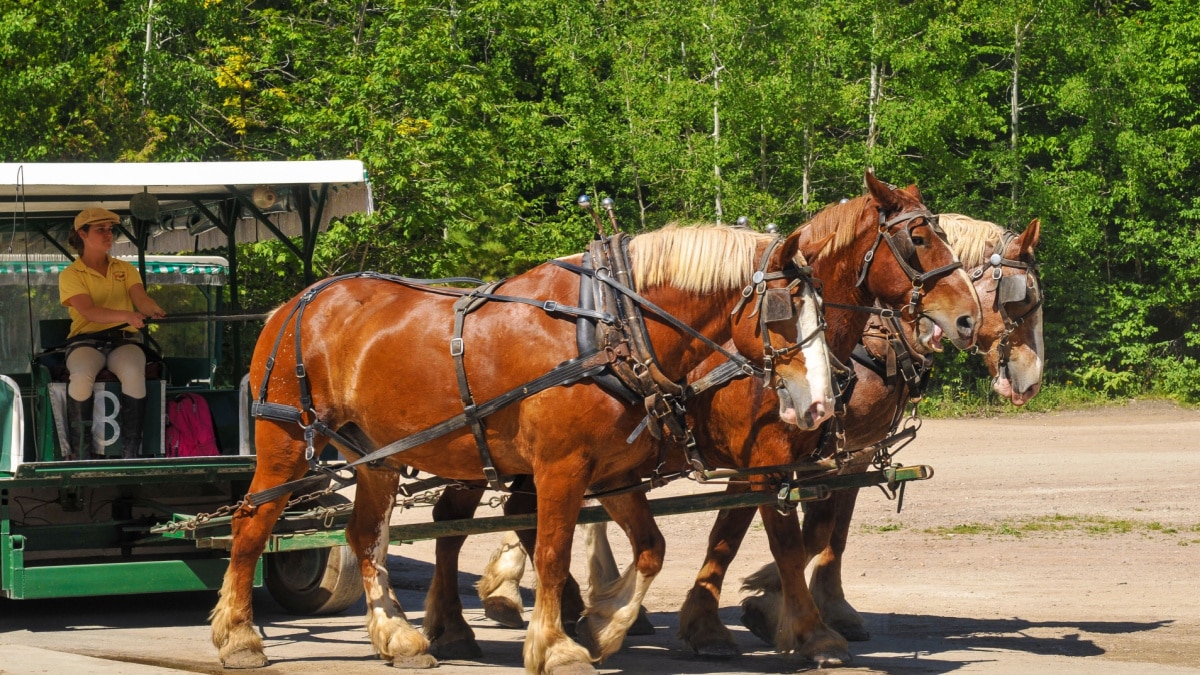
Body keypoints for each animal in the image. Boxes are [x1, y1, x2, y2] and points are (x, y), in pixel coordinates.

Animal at [209, 219, 835, 674]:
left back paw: (397, 636)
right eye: (783, 310)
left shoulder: (612, 473)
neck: (611, 326)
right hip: (288, 442)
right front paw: (557, 646)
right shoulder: (561, 468)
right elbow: (554, 555)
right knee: (251, 525)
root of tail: (296, 302)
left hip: (375, 455)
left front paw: (603, 626)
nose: (822, 407)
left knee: (363, 536)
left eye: (825, 309)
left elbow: (651, 548)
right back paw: (238, 637)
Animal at [469, 173, 983, 667]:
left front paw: (718, 620)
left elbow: (744, 535)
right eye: (918, 240)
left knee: (522, 514)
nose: (969, 320)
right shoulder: (768, 459)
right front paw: (805, 630)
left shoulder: (796, 463)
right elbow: (784, 541)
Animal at [736, 214, 1043, 644]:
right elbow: (807, 532)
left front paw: (832, 607)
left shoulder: (856, 452)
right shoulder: (813, 454)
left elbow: (834, 531)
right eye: (1024, 299)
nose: (1033, 380)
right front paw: (769, 599)